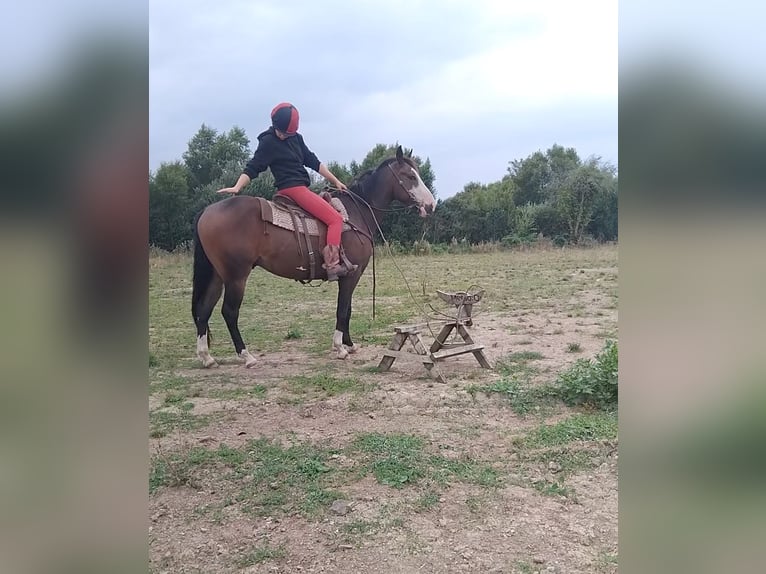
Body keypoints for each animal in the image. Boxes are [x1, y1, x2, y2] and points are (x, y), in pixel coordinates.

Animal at [191, 145, 437, 368]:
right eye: (410, 176)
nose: (431, 205)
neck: (356, 213)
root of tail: (206, 211)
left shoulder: (350, 276)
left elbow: (348, 309)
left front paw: (349, 345)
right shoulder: (351, 274)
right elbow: (342, 309)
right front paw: (340, 348)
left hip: (217, 276)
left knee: (204, 310)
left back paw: (207, 357)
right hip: (236, 277)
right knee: (229, 312)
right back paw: (246, 356)